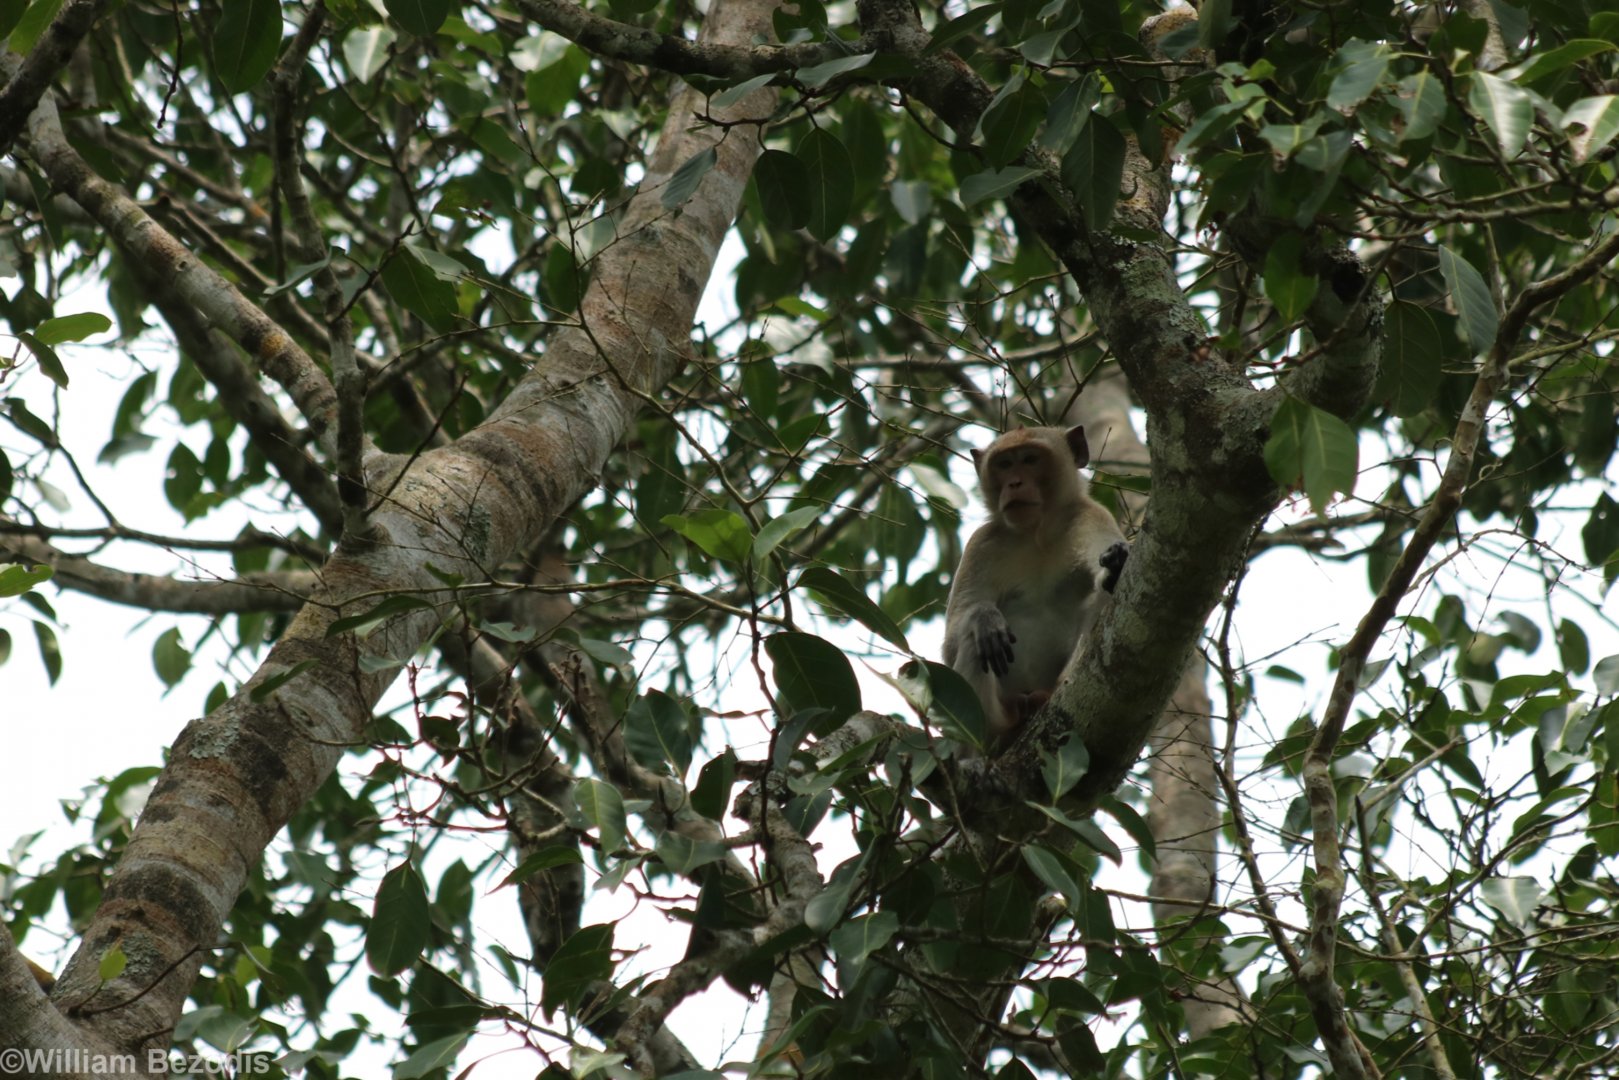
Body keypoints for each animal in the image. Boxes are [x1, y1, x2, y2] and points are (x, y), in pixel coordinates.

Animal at [942, 426, 1129, 748]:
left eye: (1030, 459)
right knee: (975, 637)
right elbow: (953, 641)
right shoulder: (982, 543)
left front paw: (1114, 564)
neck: (1036, 532)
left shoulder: (1090, 515)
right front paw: (984, 617)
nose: (1015, 483)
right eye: (1004, 465)